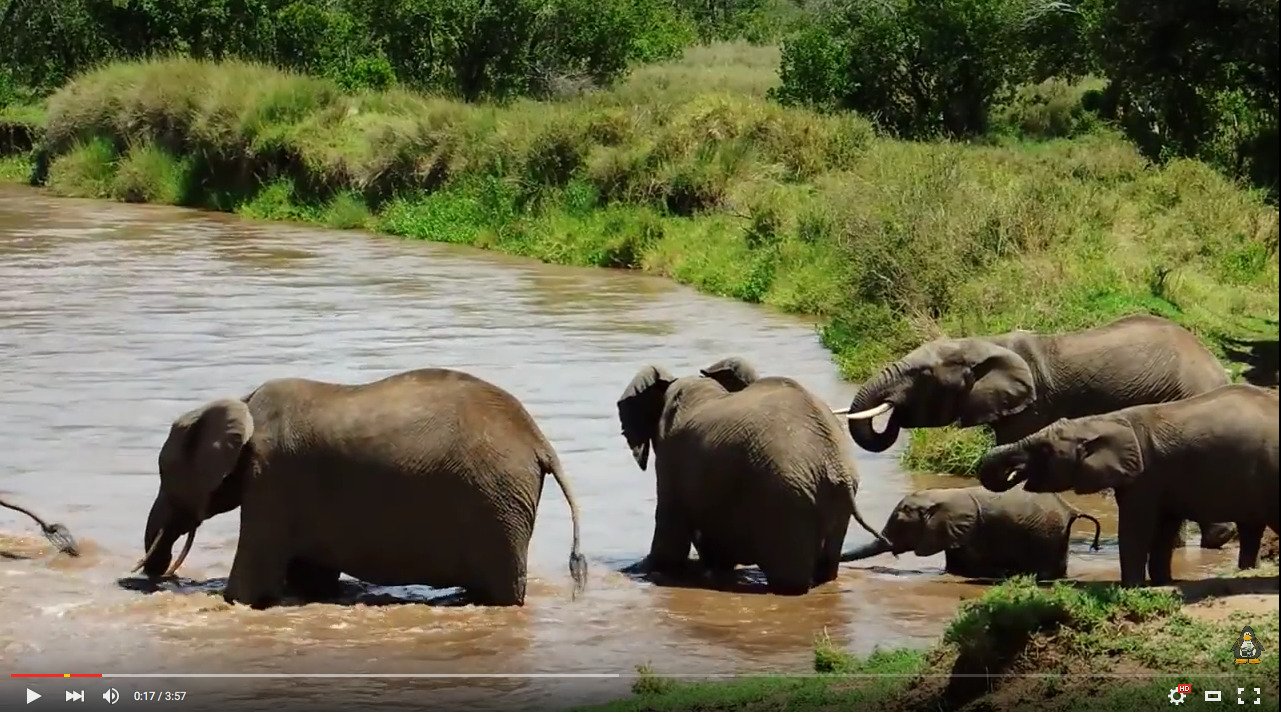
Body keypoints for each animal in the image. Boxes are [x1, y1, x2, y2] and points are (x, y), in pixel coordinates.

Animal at [131, 368, 589, 609]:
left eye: (164, 472)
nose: (155, 577)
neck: (242, 401)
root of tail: (539, 442)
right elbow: (310, 577)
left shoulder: (271, 479)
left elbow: (250, 580)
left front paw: (234, 601)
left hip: (497, 502)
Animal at [614, 356, 886, 594]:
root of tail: (836, 465)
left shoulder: (671, 458)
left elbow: (670, 535)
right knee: (825, 569)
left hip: (785, 501)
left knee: (789, 580)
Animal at [973, 386, 1275, 586]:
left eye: (1044, 450)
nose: (1009, 473)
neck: (1105, 420)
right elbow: (1163, 528)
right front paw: (1162, 583)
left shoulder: (1145, 476)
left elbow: (1135, 527)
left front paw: (1131, 587)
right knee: (1251, 528)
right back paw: (1247, 570)